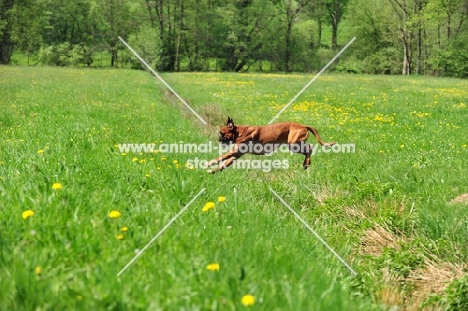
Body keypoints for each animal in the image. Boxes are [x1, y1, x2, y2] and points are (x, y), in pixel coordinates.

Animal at [206, 117, 336, 174]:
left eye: (221, 133)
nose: (218, 139)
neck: (239, 132)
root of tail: (303, 125)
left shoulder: (233, 152)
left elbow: (220, 158)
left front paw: (208, 164)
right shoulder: (235, 154)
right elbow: (223, 164)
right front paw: (213, 171)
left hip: (293, 144)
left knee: (310, 148)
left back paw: (307, 163)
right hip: (294, 145)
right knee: (308, 150)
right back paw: (306, 164)